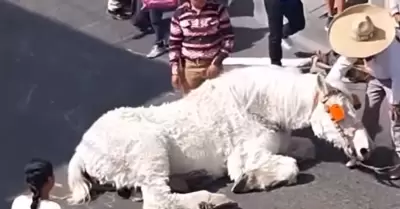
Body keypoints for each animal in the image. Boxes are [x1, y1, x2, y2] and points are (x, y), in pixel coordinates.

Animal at [66, 65, 376, 209]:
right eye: (341, 113)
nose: (364, 151)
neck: (259, 106)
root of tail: (81, 151)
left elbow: (306, 148)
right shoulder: (246, 156)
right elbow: (289, 167)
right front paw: (248, 182)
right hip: (148, 151)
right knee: (158, 199)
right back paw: (211, 199)